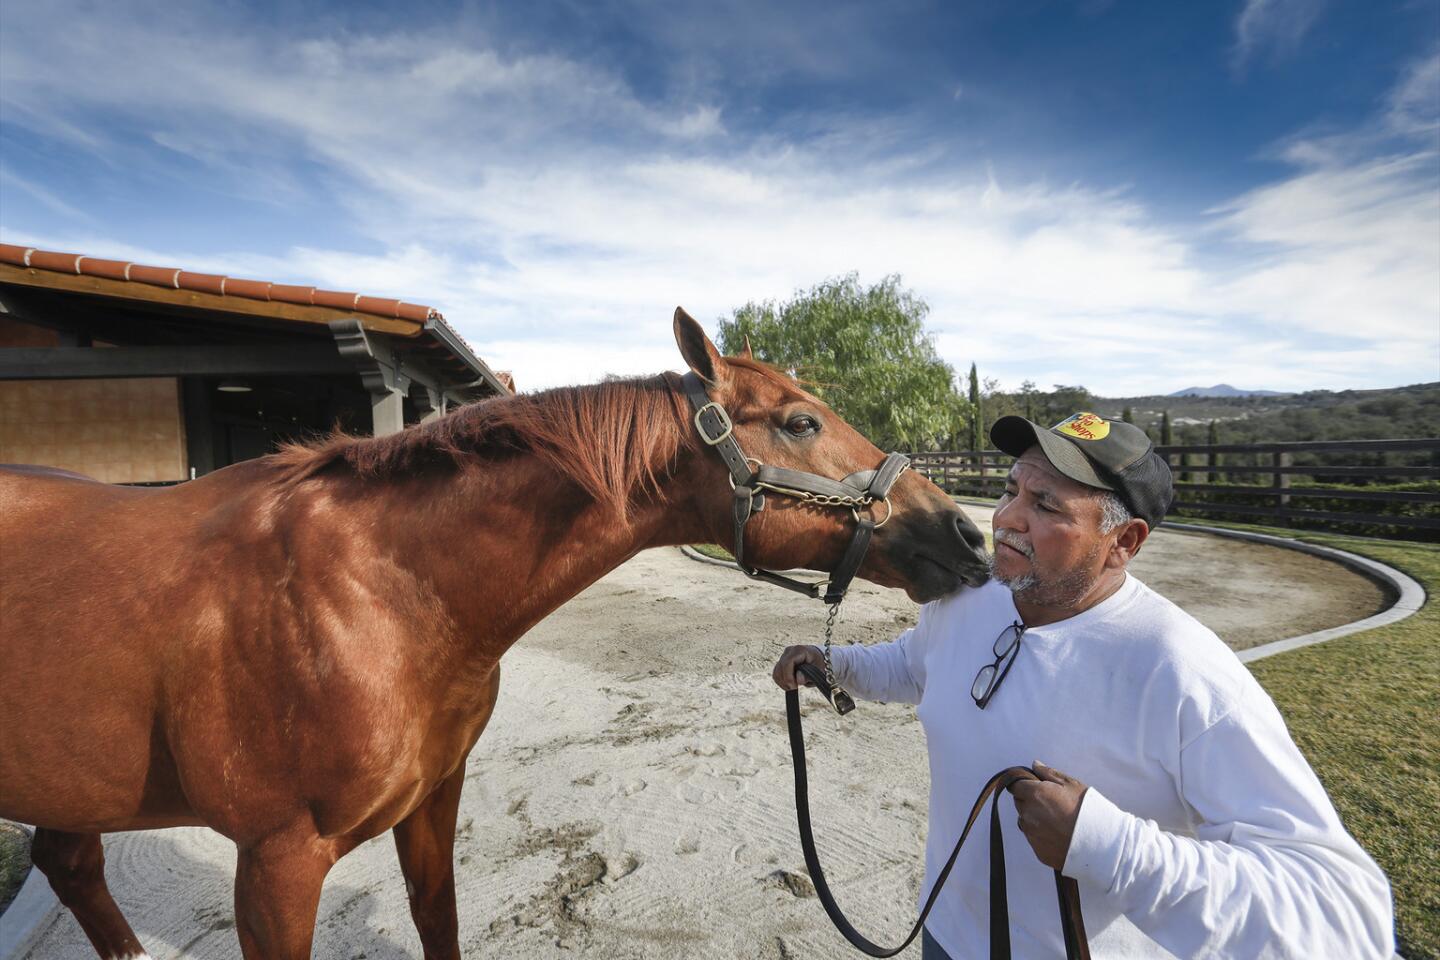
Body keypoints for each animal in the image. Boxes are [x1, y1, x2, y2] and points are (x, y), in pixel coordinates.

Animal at [0, 312, 990, 955]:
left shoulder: (433, 802)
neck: (376, 594)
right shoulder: (274, 863)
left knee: (69, 864)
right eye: (799, 420)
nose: (966, 534)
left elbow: (438, 922)